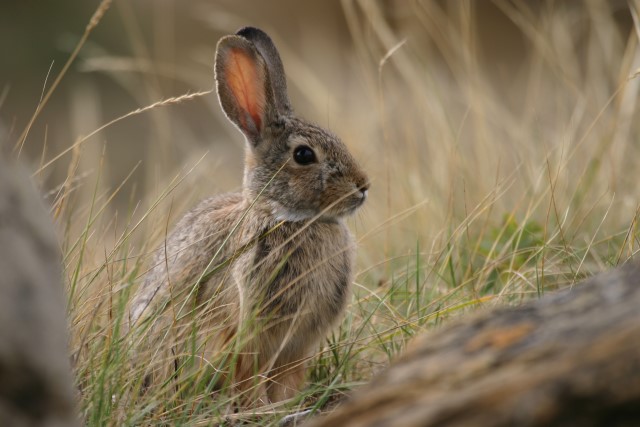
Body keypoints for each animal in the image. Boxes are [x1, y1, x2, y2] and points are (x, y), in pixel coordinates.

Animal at [129, 26, 370, 404]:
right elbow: (249, 375)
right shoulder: (254, 331)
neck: (286, 216)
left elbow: (286, 379)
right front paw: (261, 408)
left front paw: (285, 403)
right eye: (304, 155)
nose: (363, 185)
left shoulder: (297, 346)